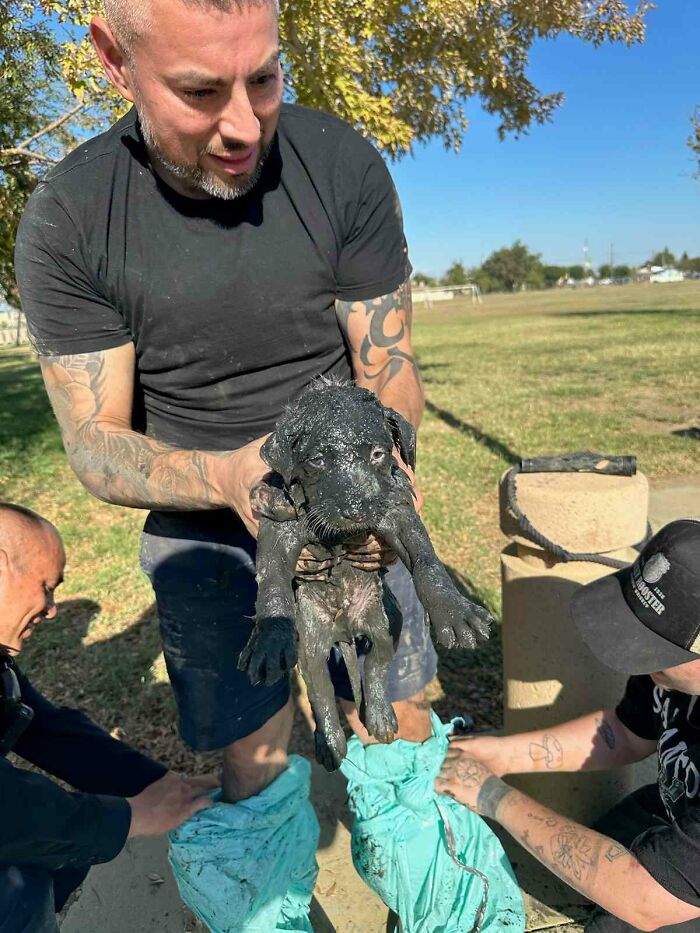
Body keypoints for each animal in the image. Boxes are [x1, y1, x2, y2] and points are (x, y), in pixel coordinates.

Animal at [241, 380, 492, 772]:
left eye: (377, 454)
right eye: (316, 460)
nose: (356, 509)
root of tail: (345, 629)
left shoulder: (398, 512)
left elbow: (426, 560)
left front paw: (454, 611)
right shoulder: (277, 524)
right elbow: (272, 585)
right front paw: (268, 637)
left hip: (387, 622)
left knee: (376, 665)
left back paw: (380, 717)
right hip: (310, 640)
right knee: (320, 688)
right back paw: (330, 743)